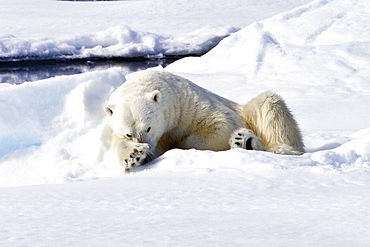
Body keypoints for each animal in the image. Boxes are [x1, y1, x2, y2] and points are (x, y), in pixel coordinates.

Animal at [104, 70, 304, 172]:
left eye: (148, 128)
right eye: (128, 133)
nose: (146, 146)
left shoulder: (188, 104)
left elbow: (222, 121)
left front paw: (181, 145)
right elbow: (117, 144)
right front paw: (135, 155)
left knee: (268, 103)